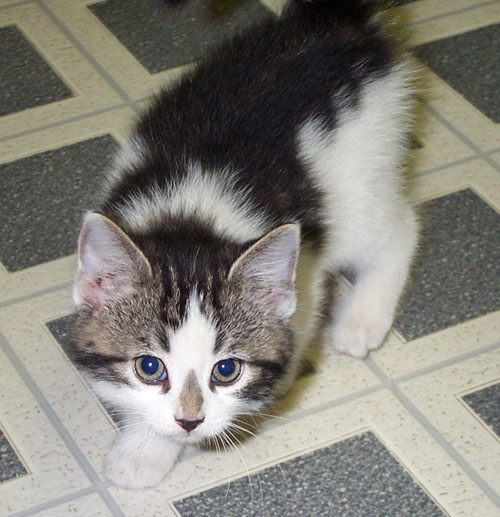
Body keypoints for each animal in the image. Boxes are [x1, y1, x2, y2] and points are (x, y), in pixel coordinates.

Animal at [71, 0, 418, 488]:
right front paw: (147, 444)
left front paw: (147, 451)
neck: (192, 217)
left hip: (360, 180)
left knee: (399, 230)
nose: (189, 421)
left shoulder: (305, 270)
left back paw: (361, 320)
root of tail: (329, 23)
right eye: (150, 367)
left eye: (226, 370)